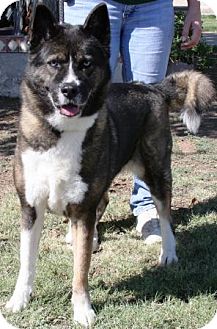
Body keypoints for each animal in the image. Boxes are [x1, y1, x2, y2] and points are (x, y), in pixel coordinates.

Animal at [1, 3, 215, 328]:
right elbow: (26, 262)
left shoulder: (83, 210)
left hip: (156, 172)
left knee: (165, 215)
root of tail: (152, 89)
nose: (70, 89)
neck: (61, 132)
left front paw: (82, 310)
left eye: (86, 64)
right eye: (54, 63)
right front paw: (18, 302)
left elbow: (80, 269)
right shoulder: (30, 207)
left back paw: (168, 253)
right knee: (103, 201)